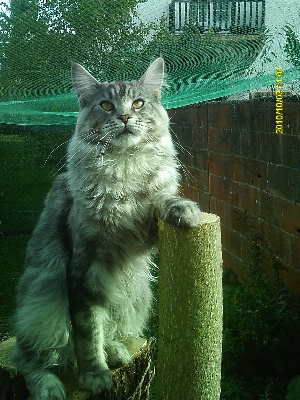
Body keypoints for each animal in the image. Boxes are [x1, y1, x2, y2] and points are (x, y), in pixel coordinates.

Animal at [11, 57, 200, 398]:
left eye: (138, 104)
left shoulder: (146, 229)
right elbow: (87, 330)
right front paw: (95, 374)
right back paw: (51, 386)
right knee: (29, 360)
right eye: (106, 105)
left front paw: (185, 210)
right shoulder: (85, 264)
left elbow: (161, 199)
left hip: (134, 296)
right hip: (43, 299)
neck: (124, 164)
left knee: (108, 330)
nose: (125, 116)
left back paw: (116, 351)